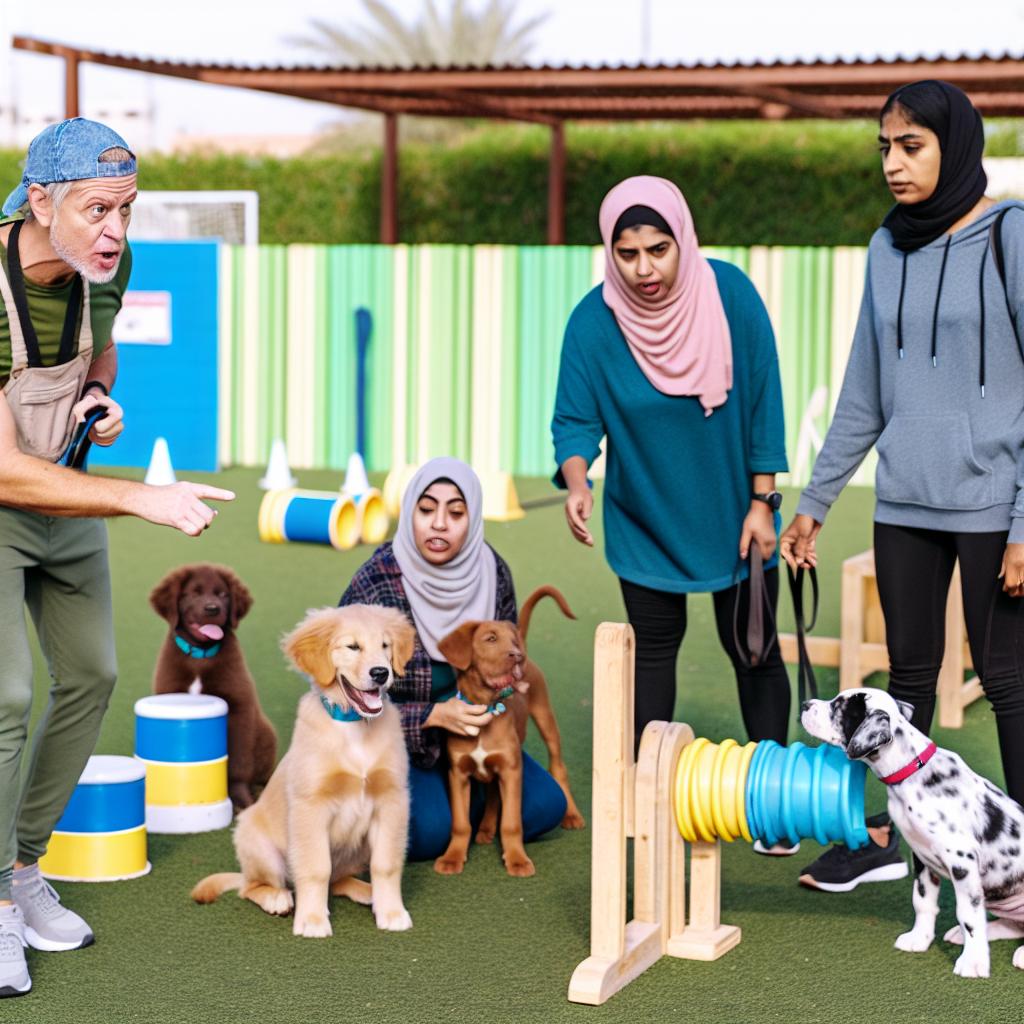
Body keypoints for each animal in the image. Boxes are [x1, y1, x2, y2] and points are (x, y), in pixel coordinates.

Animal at [148, 561, 276, 806]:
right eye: (194, 593)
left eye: (223, 594)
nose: (212, 609)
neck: (201, 655)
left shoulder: (239, 708)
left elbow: (238, 762)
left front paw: (240, 799)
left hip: (266, 734)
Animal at [192, 606, 415, 937]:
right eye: (352, 647)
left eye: (385, 646)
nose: (381, 673)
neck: (353, 727)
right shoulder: (311, 806)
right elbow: (315, 869)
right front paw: (312, 920)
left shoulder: (392, 801)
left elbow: (385, 864)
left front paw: (391, 912)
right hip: (258, 845)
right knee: (253, 887)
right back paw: (277, 898)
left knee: (338, 880)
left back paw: (367, 892)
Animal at [798, 688, 1024, 974]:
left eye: (837, 708)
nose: (805, 704)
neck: (911, 772)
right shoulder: (921, 855)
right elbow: (923, 900)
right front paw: (920, 939)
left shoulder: (962, 860)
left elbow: (969, 915)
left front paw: (973, 963)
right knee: (1013, 925)